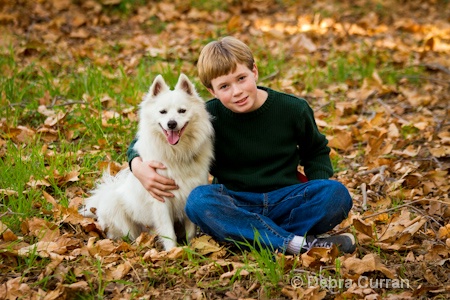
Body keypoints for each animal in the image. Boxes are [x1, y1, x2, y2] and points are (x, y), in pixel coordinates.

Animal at [80, 73, 214, 251]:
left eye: (182, 111)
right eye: (162, 112)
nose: (171, 123)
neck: (176, 154)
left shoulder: (189, 193)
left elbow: (190, 229)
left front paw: (191, 247)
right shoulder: (161, 201)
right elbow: (168, 232)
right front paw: (173, 252)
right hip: (118, 213)